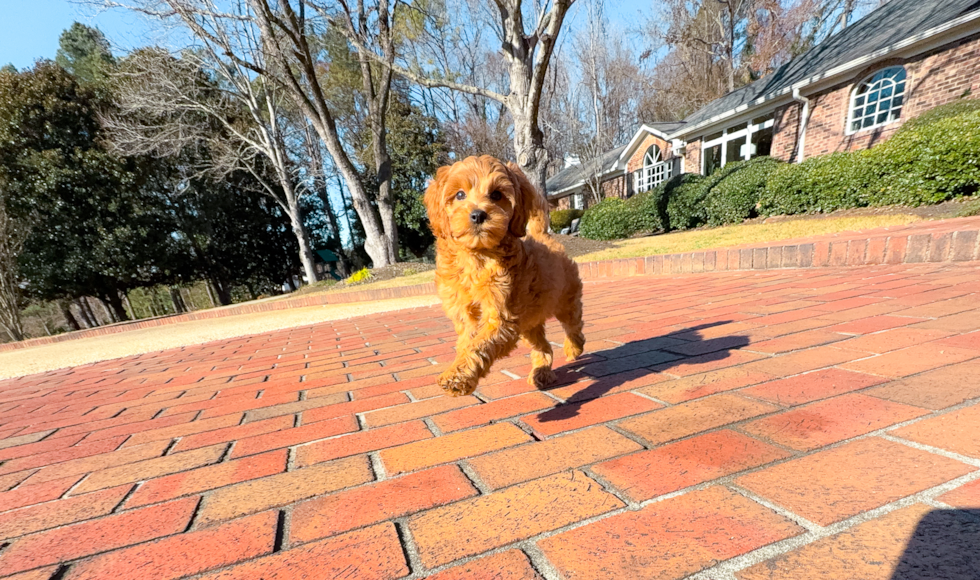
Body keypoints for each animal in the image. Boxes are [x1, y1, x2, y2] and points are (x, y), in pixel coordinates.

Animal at [424, 156, 584, 396]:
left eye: (496, 194)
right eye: (460, 194)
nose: (478, 214)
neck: (477, 256)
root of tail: (542, 236)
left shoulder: (500, 317)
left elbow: (479, 345)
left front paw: (458, 377)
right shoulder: (465, 314)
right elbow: (468, 343)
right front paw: (459, 370)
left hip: (566, 299)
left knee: (573, 325)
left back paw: (573, 348)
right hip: (528, 324)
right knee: (543, 346)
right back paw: (542, 372)